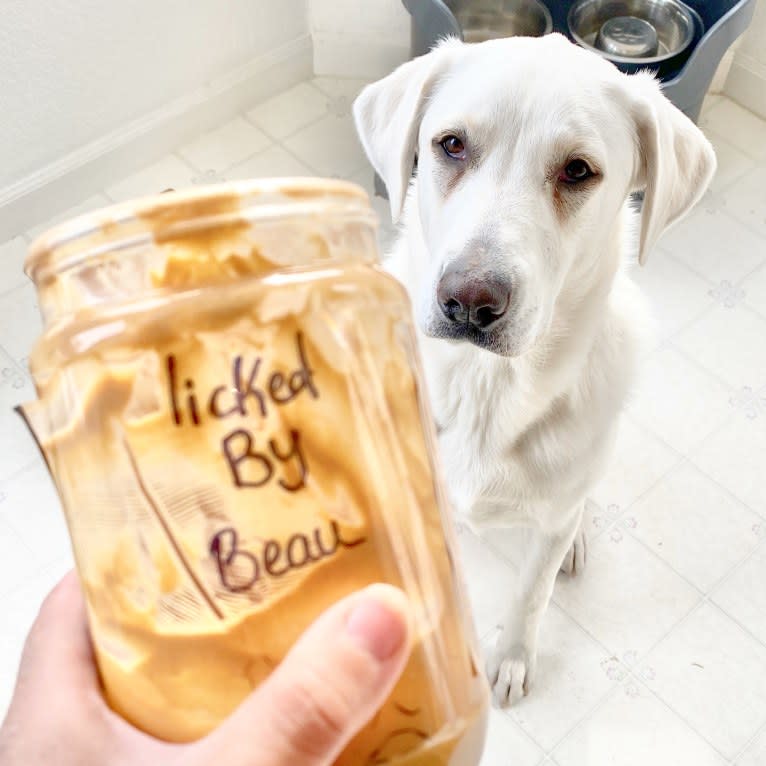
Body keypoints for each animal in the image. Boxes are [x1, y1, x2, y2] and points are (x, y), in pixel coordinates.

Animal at [356, 34, 716, 708]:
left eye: (578, 170)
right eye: (451, 144)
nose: (469, 301)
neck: (485, 390)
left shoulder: (545, 533)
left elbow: (530, 595)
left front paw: (510, 660)